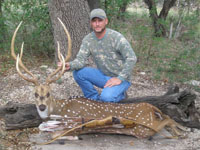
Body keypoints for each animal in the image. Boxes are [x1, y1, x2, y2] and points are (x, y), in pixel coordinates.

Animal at [11, 18, 184, 144]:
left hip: (142, 129)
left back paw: (180, 131)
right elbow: (42, 127)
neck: (59, 109)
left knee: (166, 122)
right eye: (35, 94)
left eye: (48, 93)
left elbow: (53, 133)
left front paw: (74, 137)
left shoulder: (72, 123)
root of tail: (153, 110)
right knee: (168, 118)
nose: (41, 106)